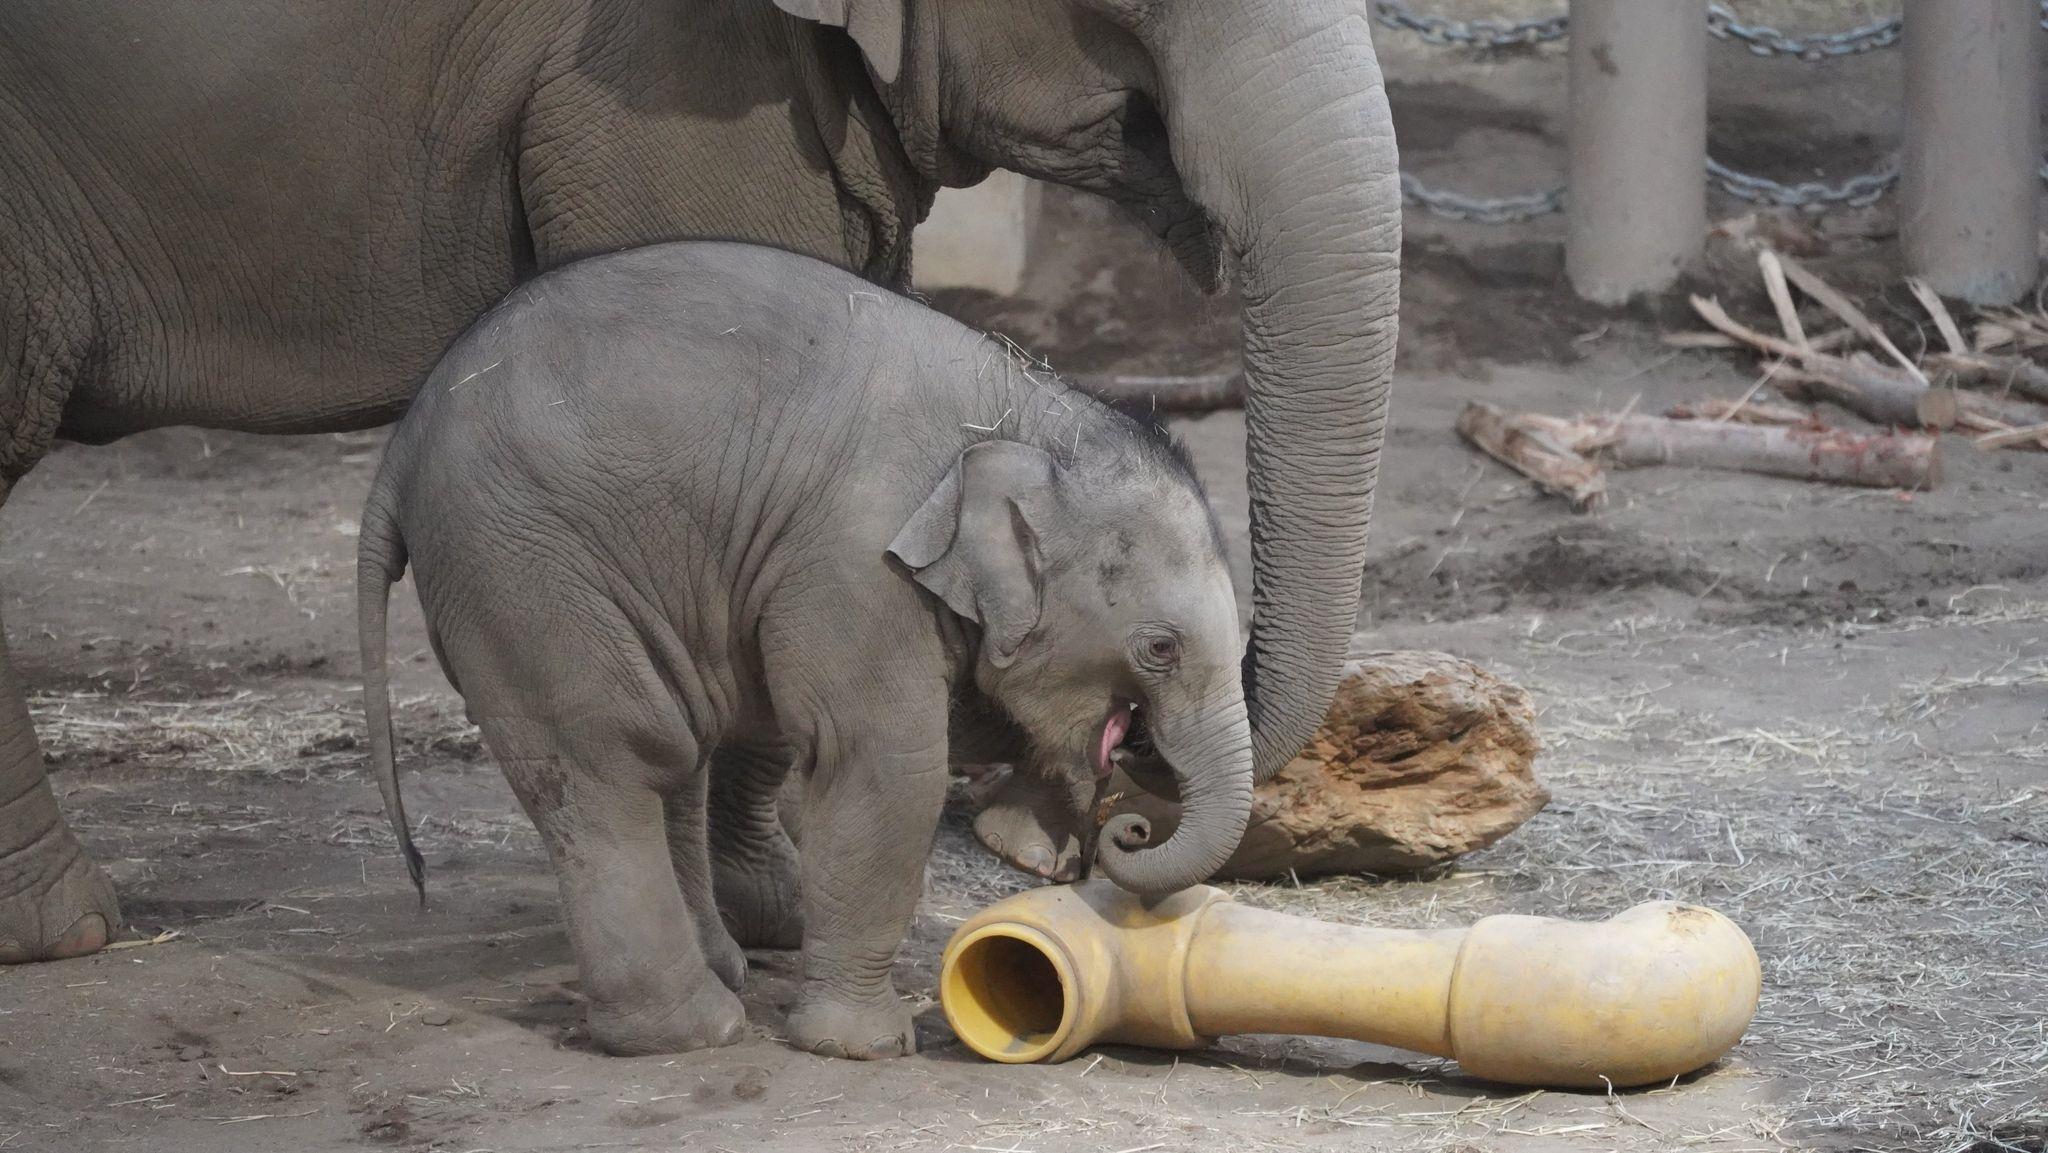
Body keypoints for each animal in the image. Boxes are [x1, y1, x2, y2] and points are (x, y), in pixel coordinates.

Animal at [360, 239, 1245, 1056]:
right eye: (1160, 647)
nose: (1128, 831)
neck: (1024, 417)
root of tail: (401, 448)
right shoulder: (854, 562)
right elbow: (886, 758)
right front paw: (866, 1045)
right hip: (521, 567)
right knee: (611, 757)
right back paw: (695, 1030)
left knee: (671, 751)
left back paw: (722, 973)